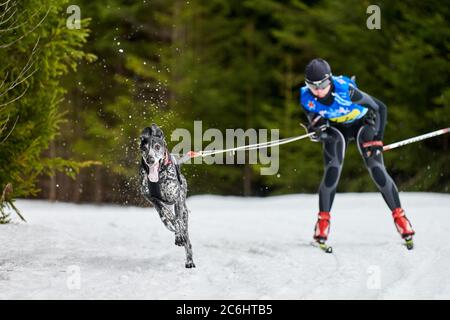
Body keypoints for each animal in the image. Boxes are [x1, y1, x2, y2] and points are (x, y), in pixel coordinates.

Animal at [139, 122, 195, 268]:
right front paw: (176, 231)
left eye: (157, 147)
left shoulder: (177, 198)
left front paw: (179, 236)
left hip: (184, 212)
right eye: (144, 148)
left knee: (187, 238)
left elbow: (178, 221)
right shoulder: (153, 199)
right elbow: (168, 215)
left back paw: (189, 260)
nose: (150, 159)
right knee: (169, 222)